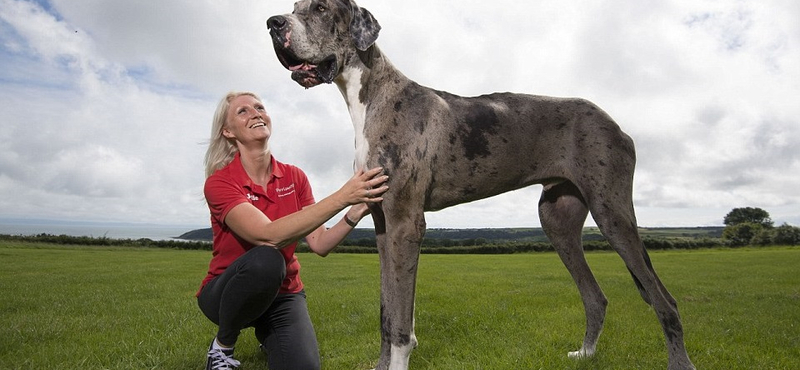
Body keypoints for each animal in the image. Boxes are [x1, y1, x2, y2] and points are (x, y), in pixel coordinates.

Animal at [268, 0, 692, 370]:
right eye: (293, 8)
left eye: (321, 8)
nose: (273, 23)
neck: (371, 97)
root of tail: (616, 124)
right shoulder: (383, 224)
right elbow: (387, 314)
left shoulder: (405, 223)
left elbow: (401, 321)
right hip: (557, 220)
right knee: (596, 297)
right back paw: (585, 354)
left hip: (612, 213)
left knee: (665, 301)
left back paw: (678, 361)